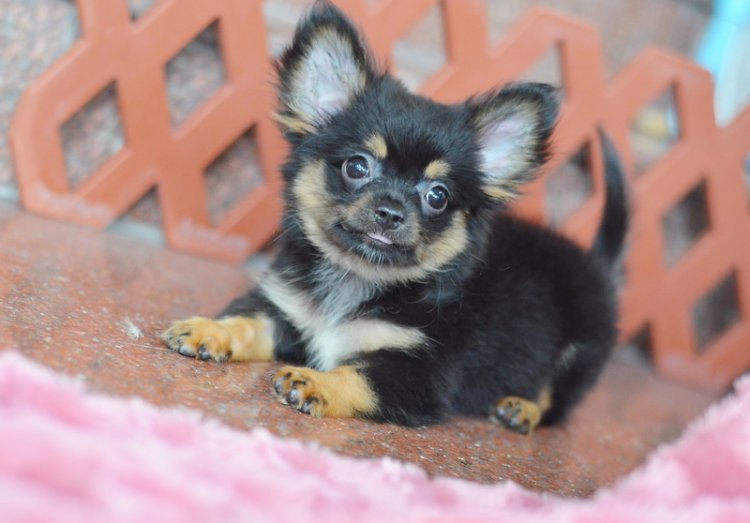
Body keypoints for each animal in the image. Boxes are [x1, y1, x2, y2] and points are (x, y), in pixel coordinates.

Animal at [162, 1, 627, 435]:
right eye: (357, 166)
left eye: (437, 196)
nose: (390, 212)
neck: (358, 280)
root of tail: (596, 261)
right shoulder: (285, 312)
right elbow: (246, 322)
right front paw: (209, 331)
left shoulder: (414, 374)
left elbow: (353, 375)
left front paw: (316, 383)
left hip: (578, 357)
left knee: (555, 404)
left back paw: (520, 408)